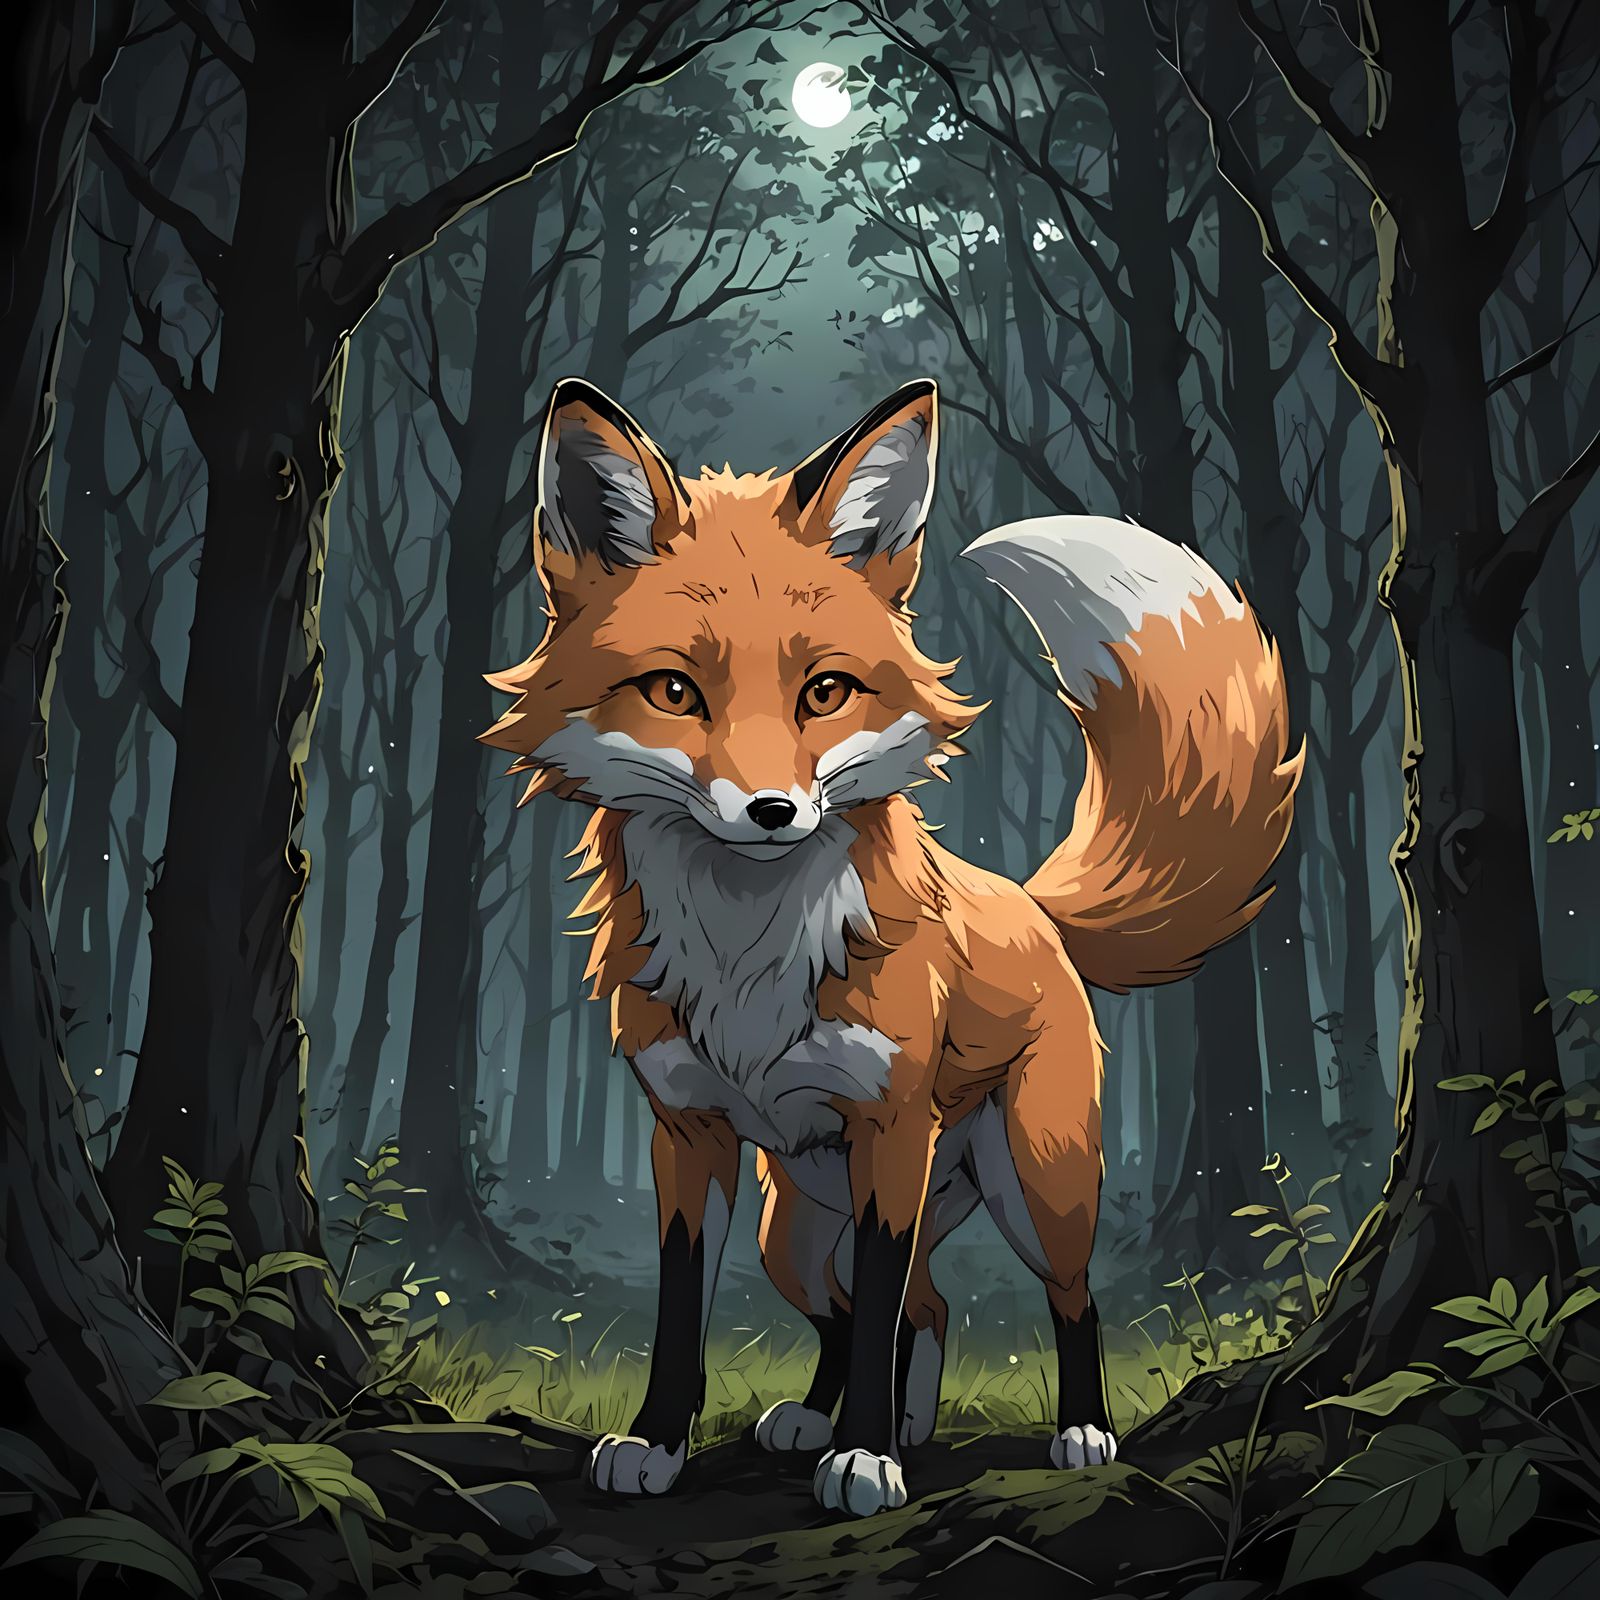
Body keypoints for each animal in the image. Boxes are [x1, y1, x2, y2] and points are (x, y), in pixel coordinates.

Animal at [482, 375, 1300, 1518]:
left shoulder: (890, 1131)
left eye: (823, 692)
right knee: (913, 1308)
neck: (747, 960)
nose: (773, 811)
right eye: (675, 692)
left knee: (1058, 1297)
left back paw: (1074, 1430)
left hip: (1036, 1184)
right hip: (791, 1230)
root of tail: (1032, 905)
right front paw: (660, 1442)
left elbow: (880, 1314)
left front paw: (865, 1460)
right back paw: (844, 1419)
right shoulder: (687, 1136)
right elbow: (689, 1313)